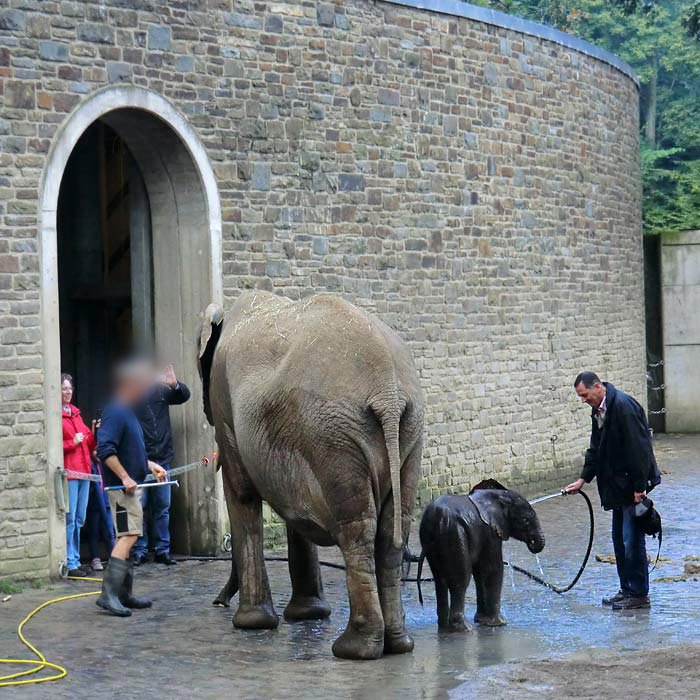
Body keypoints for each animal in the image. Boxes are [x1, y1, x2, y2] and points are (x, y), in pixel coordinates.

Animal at [200, 292, 424, 660]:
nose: (218, 602)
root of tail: (388, 394)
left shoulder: (224, 406)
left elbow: (242, 493)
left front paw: (251, 624)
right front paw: (306, 616)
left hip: (335, 439)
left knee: (357, 529)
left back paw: (352, 650)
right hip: (405, 430)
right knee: (395, 525)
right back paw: (397, 645)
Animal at [418, 478, 544, 632]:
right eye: (525, 519)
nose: (533, 543)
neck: (499, 495)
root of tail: (436, 519)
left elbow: (480, 572)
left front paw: (482, 621)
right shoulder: (489, 531)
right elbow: (492, 569)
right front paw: (499, 623)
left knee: (440, 579)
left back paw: (444, 627)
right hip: (455, 534)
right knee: (460, 580)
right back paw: (464, 628)